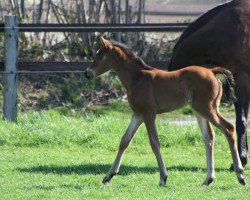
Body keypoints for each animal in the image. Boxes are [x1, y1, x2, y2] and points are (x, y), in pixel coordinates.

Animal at [85, 36, 245, 187]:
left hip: (207, 109)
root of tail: (212, 71)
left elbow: (154, 142)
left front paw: (163, 177)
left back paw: (240, 175)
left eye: (100, 56)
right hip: (200, 110)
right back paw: (209, 179)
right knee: (209, 137)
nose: (87, 73)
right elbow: (125, 140)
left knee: (228, 128)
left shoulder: (149, 113)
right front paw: (108, 176)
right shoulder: (137, 114)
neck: (137, 78)